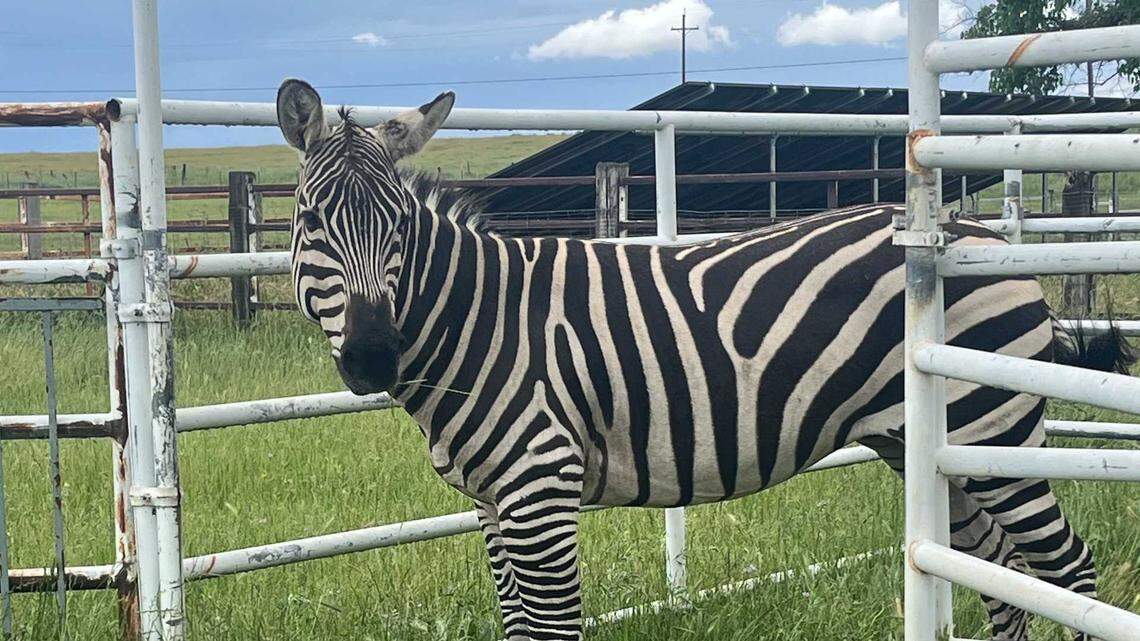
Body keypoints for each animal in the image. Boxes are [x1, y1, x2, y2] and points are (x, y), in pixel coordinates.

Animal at [276, 78, 1131, 641]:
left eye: (399, 226)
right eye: (311, 220)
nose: (373, 358)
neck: (478, 323)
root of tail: (979, 235)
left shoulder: (539, 487)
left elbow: (551, 630)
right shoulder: (493, 502)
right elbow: (517, 628)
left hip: (993, 431)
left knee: (1069, 570)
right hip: (925, 444)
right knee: (997, 567)